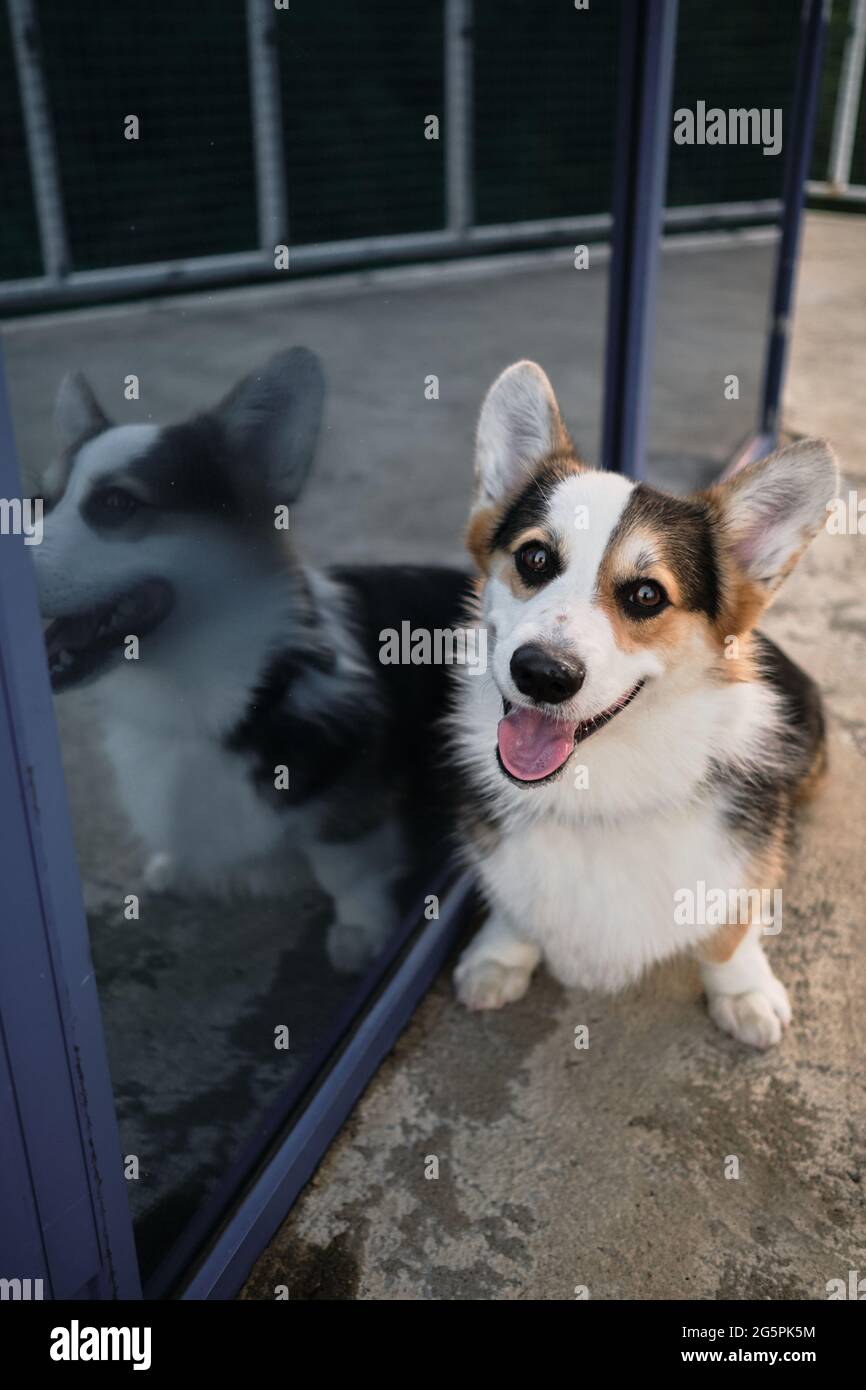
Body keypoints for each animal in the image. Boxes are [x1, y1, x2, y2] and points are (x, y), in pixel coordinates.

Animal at [33, 350, 469, 967]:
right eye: (39, 503)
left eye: (117, 503)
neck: (189, 695)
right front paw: (176, 868)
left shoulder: (346, 808)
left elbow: (346, 870)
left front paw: (361, 931)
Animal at [450, 358, 839, 1045]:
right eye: (535, 557)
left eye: (647, 596)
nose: (542, 674)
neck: (598, 790)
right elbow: (514, 903)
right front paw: (500, 955)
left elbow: (729, 930)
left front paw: (743, 992)